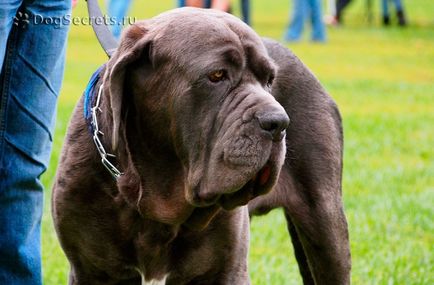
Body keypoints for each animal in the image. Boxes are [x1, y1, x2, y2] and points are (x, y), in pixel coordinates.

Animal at [52, 7, 350, 284]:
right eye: (216, 75)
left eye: (269, 80)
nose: (278, 121)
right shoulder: (90, 271)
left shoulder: (229, 269)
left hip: (325, 220)